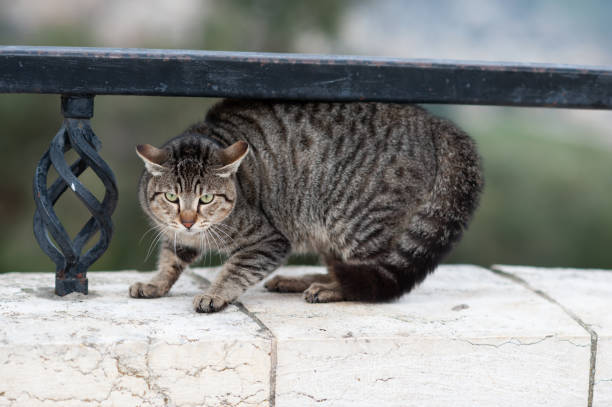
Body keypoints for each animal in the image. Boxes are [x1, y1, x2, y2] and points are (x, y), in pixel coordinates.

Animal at [129, 100, 482, 314]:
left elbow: (235, 269)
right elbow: (170, 259)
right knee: (344, 268)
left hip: (353, 221)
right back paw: (300, 281)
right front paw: (156, 284)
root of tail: (434, 121)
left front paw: (215, 293)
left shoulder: (268, 241)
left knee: (370, 279)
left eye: (207, 199)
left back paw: (329, 290)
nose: (188, 220)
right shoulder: (177, 235)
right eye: (171, 198)